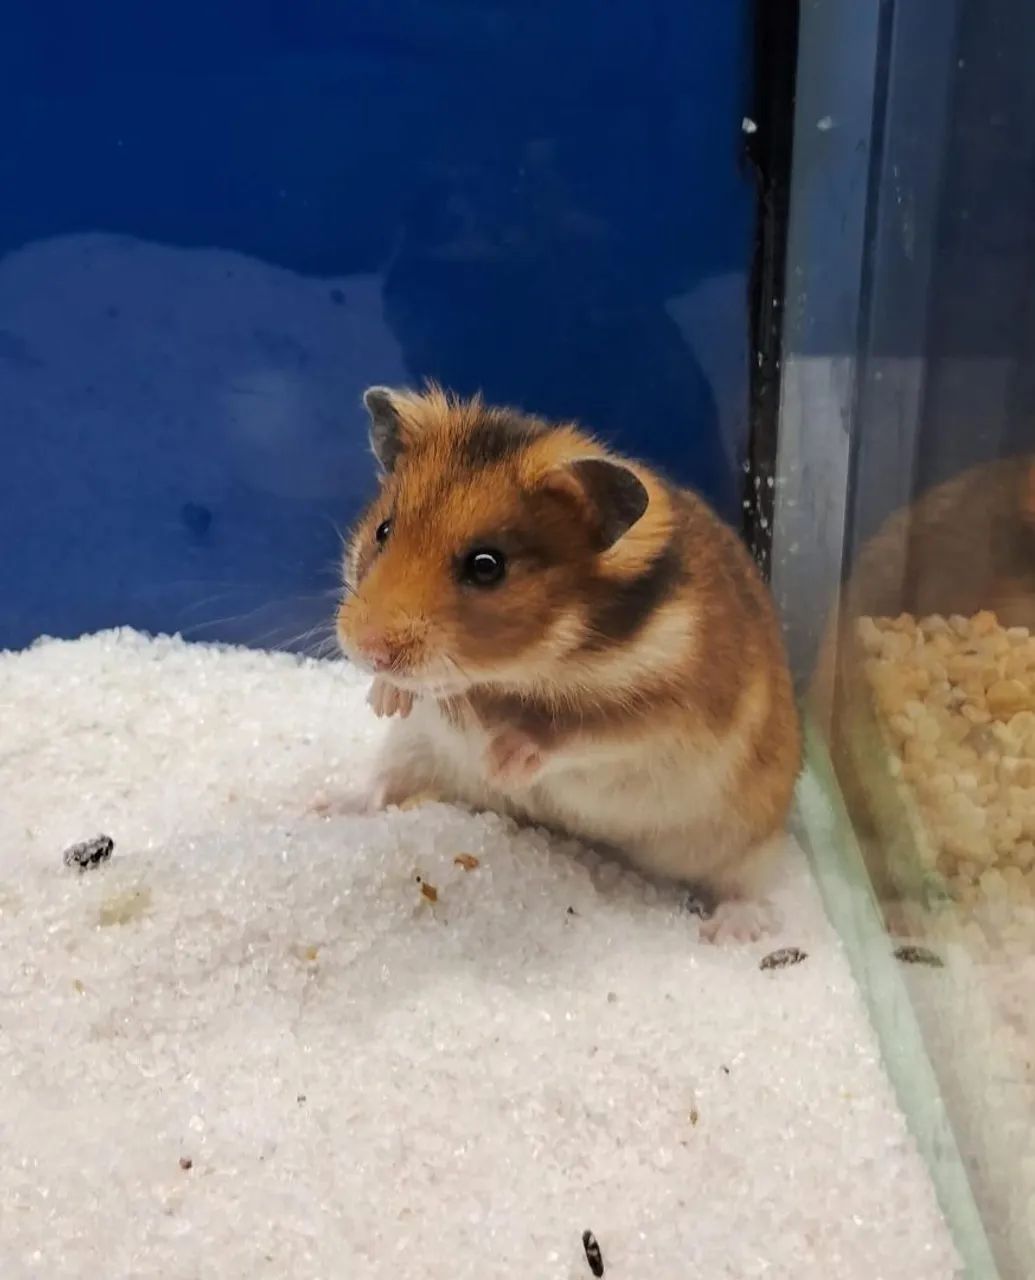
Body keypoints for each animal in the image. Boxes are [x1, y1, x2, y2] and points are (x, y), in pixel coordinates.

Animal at [336, 385, 801, 941]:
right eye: (384, 530)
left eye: (487, 566)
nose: (367, 650)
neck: (531, 665)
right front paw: (385, 700)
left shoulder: (665, 715)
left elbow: (574, 729)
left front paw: (501, 764)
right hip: (412, 752)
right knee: (383, 786)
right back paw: (330, 806)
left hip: (751, 837)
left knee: (744, 885)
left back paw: (731, 932)